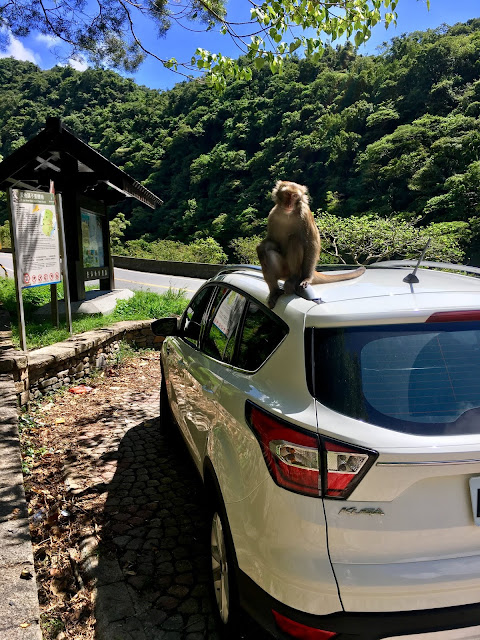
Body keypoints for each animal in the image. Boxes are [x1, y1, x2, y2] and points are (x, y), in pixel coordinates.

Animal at [256, 180, 366, 310]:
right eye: (287, 194)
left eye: (295, 196)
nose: (289, 204)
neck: (288, 214)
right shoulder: (272, 215)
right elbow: (271, 242)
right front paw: (264, 246)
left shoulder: (305, 213)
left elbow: (312, 244)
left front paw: (307, 278)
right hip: (283, 270)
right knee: (265, 250)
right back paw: (274, 291)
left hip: (298, 269)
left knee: (295, 239)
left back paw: (294, 278)